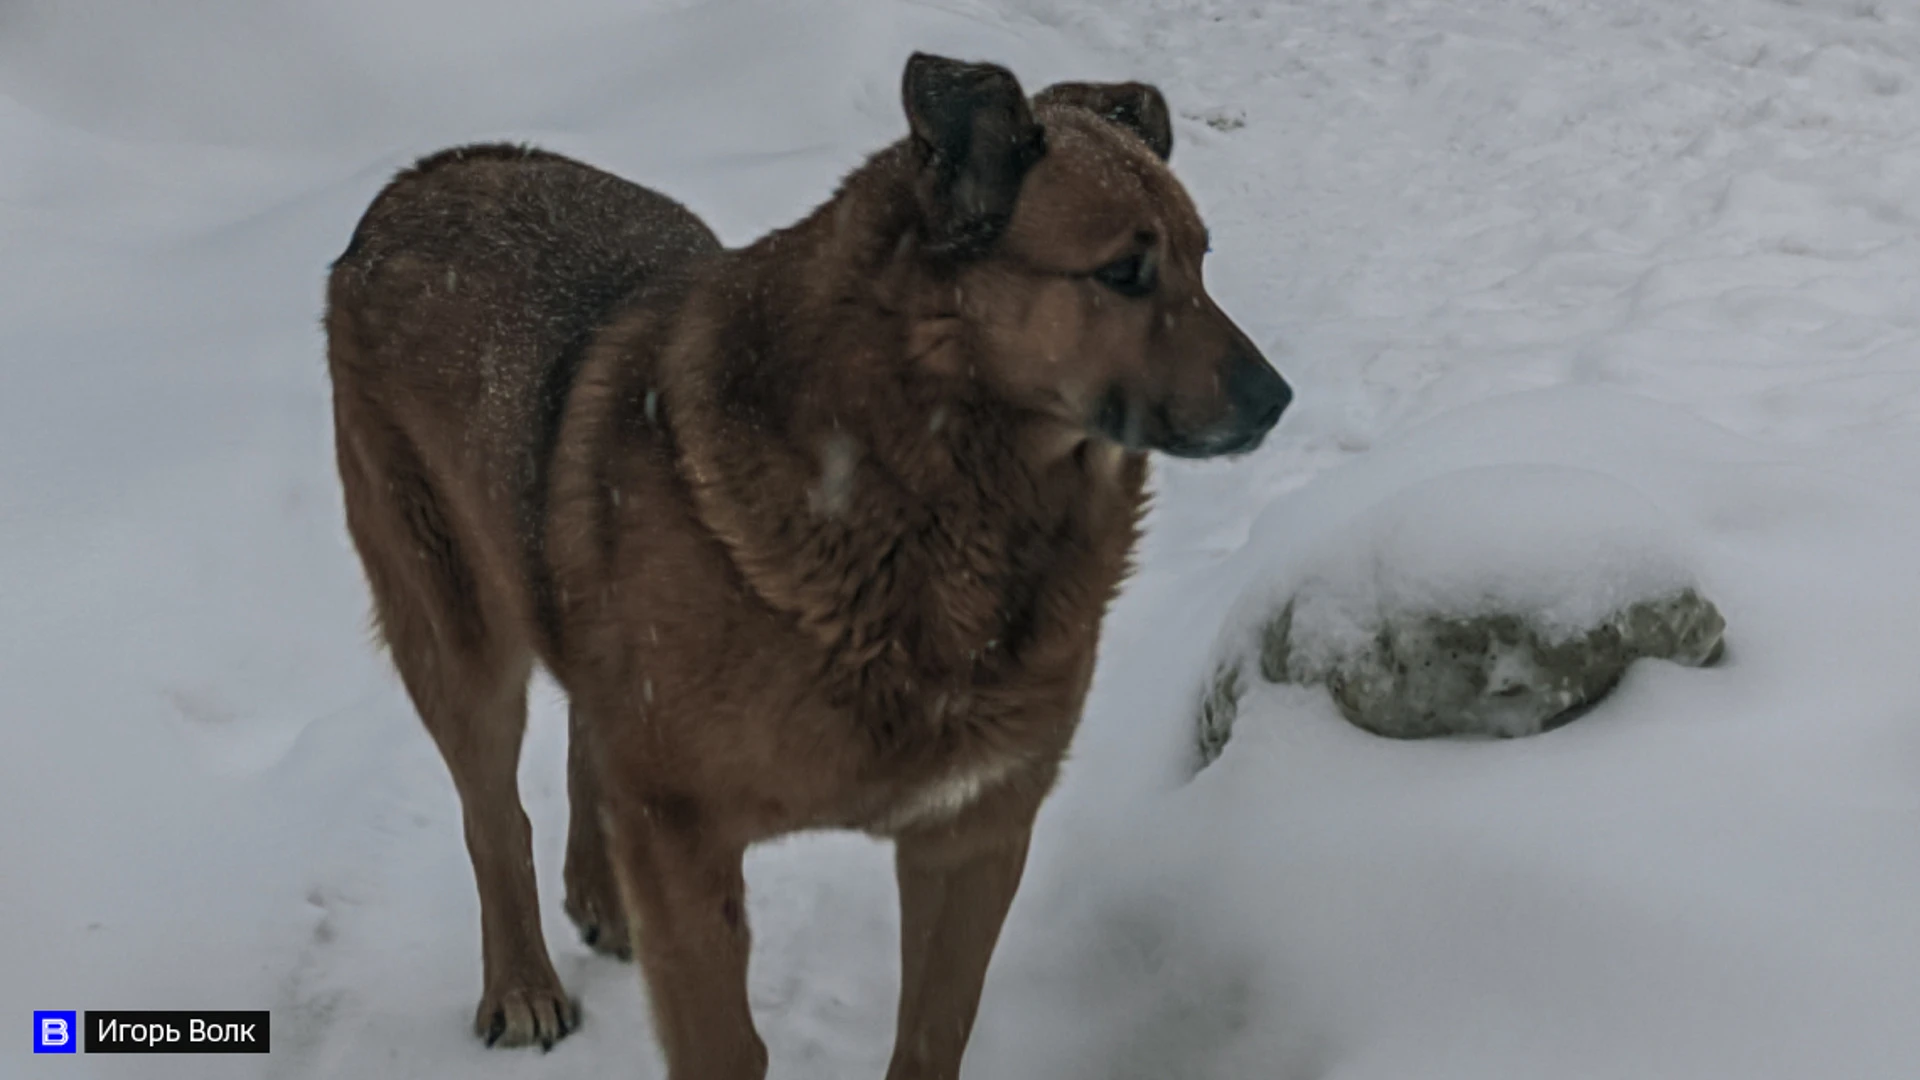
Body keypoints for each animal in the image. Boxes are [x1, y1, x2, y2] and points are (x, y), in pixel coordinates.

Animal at [326, 52, 1290, 1076]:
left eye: (1201, 261)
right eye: (1123, 272)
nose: (1278, 400)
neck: (934, 499)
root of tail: (429, 173)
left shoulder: (973, 832)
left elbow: (931, 1035)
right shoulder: (686, 836)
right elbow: (725, 1044)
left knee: (587, 725)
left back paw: (599, 892)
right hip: (454, 632)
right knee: (494, 816)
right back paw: (520, 983)